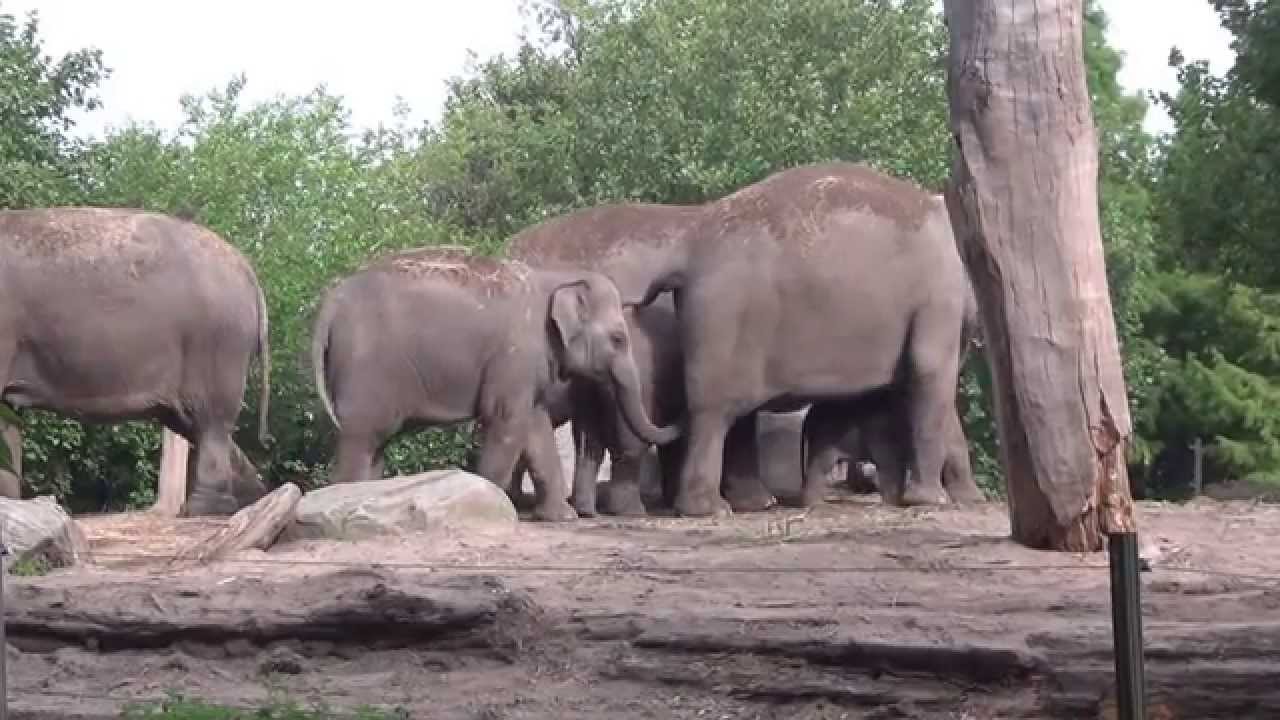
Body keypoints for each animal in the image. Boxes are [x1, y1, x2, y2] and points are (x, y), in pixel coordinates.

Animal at [0, 207, 271, 516]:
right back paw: (252, 495)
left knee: (210, 419)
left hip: (216, 342)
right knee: (192, 423)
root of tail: (248, 272)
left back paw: (203, 508)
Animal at [308, 245, 679, 522]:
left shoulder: (527, 368)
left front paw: (561, 517)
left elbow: (536, 427)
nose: (676, 420)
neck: (557, 277)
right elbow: (505, 421)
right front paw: (492, 503)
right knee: (362, 436)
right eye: (618, 339)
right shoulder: (515, 355)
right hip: (366, 371)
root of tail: (330, 301)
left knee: (375, 443)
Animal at [632, 161, 976, 517]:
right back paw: (710, 509)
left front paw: (967, 498)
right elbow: (929, 371)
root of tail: (690, 245)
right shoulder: (939, 293)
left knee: (733, 412)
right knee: (713, 412)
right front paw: (931, 500)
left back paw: (750, 503)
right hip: (723, 318)